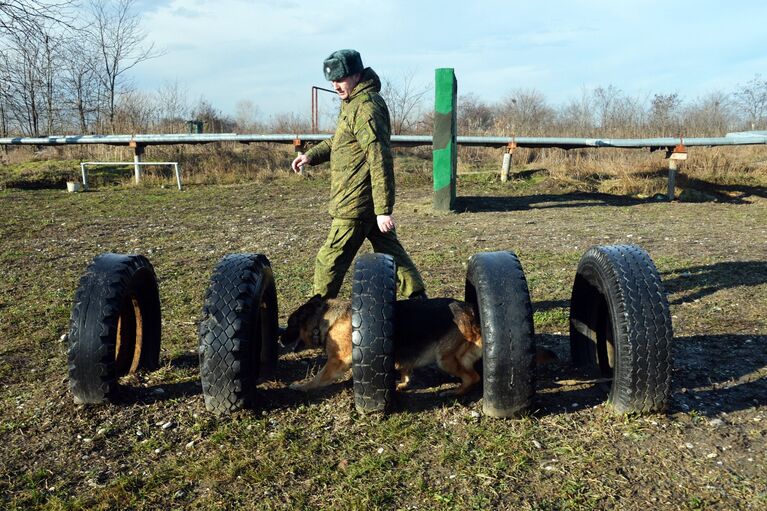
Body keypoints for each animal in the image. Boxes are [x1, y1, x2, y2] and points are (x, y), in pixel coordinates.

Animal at [282, 296, 560, 396]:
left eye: (289, 324)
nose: (279, 340)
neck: (324, 319)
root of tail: (471, 315)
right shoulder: (402, 358)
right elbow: (404, 368)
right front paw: (403, 384)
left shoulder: (337, 361)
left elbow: (319, 377)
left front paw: (302, 386)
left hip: (445, 359)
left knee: (473, 377)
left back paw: (455, 393)